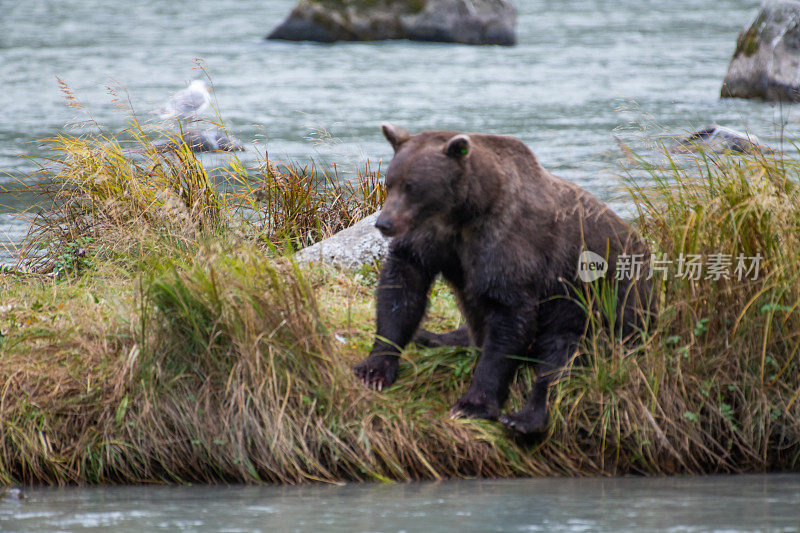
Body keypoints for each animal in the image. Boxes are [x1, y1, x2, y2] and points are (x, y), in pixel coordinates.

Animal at [354, 123, 652, 432]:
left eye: (412, 186)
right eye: (391, 182)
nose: (384, 223)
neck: (464, 214)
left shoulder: (507, 243)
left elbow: (508, 317)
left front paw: (472, 404)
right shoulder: (430, 237)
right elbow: (403, 284)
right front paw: (375, 368)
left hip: (603, 304)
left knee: (563, 357)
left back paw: (524, 418)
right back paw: (432, 337)